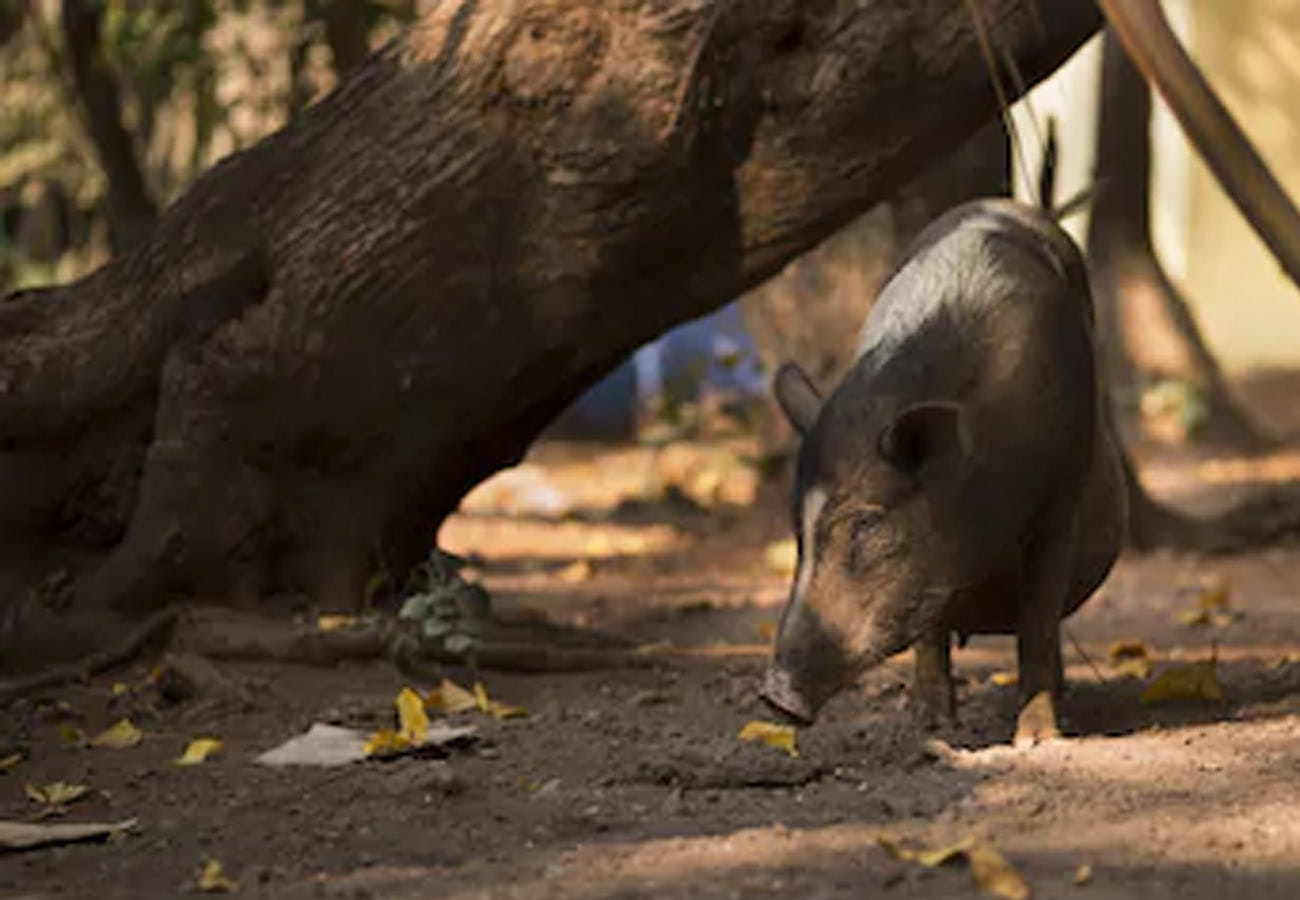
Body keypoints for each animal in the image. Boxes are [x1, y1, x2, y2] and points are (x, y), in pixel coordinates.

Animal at [759, 198, 1126, 746]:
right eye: (797, 532)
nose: (774, 693)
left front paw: (1037, 739)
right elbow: (929, 626)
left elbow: (1038, 623)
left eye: (867, 523)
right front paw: (928, 726)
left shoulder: (1060, 505)